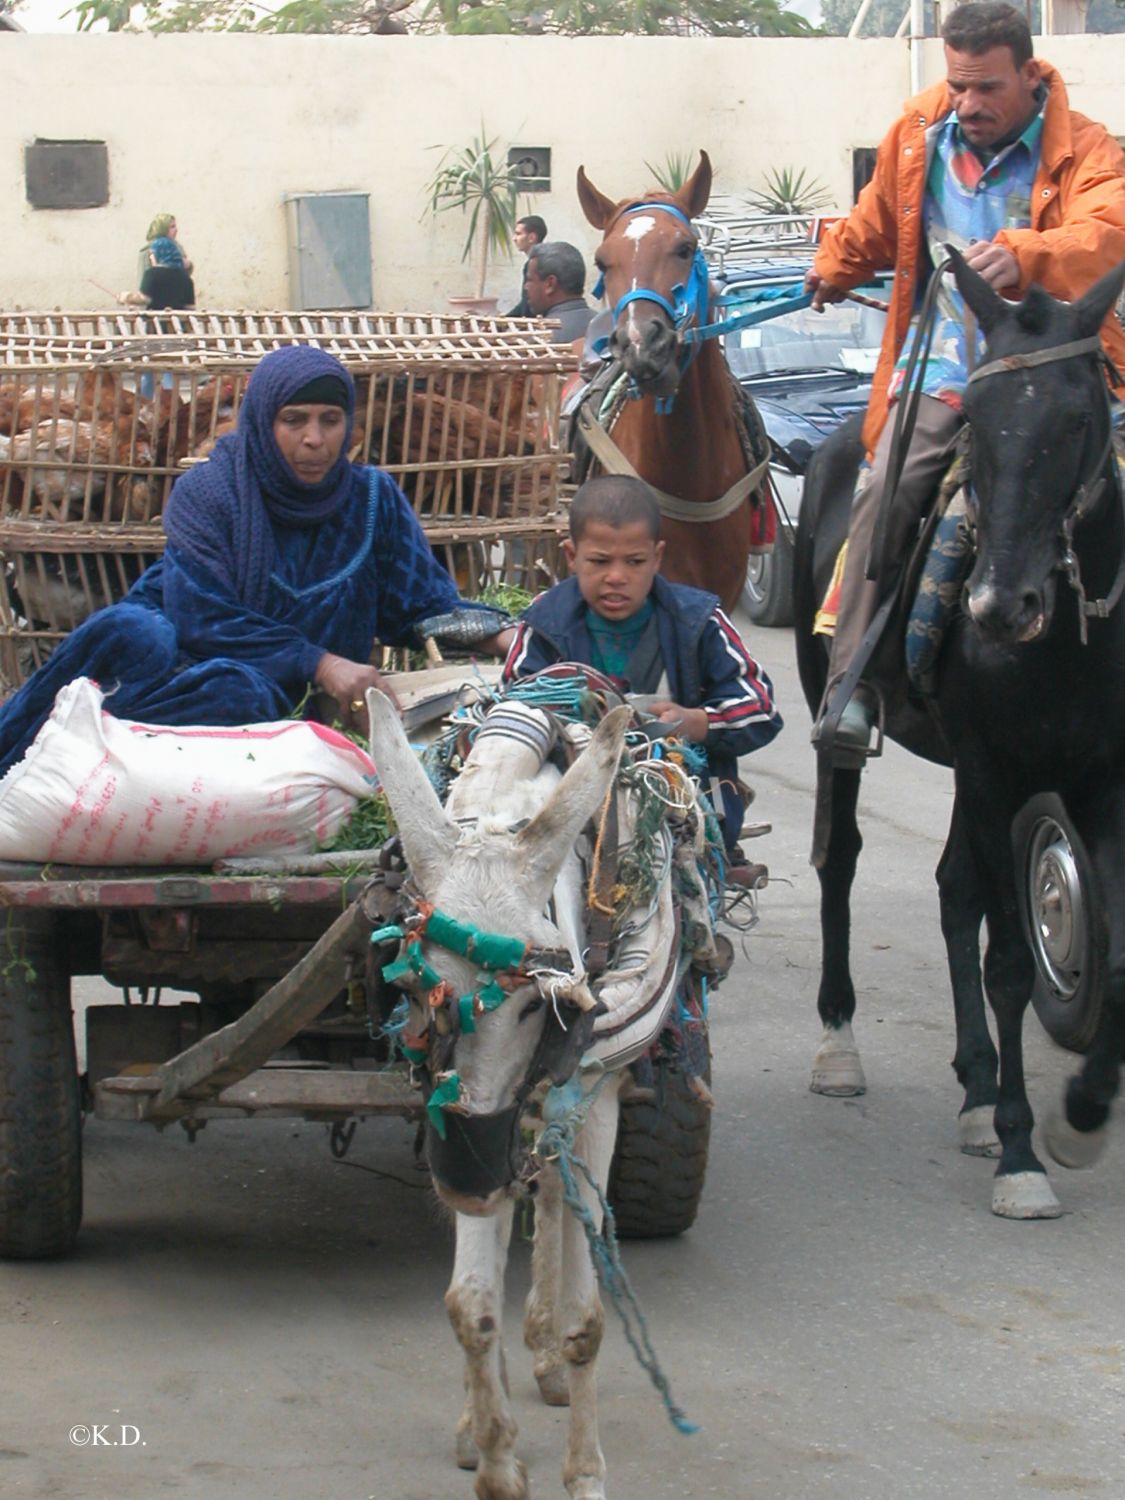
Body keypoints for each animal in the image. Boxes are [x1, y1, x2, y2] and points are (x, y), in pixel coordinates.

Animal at [792, 252, 1125, 1218]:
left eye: (1078, 417)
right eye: (975, 418)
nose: (997, 605)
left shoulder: (1097, 781)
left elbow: (1114, 953)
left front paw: (1079, 1115)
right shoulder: (994, 770)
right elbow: (1011, 959)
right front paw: (1020, 1150)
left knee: (951, 890)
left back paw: (976, 1088)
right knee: (843, 860)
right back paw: (842, 1043)